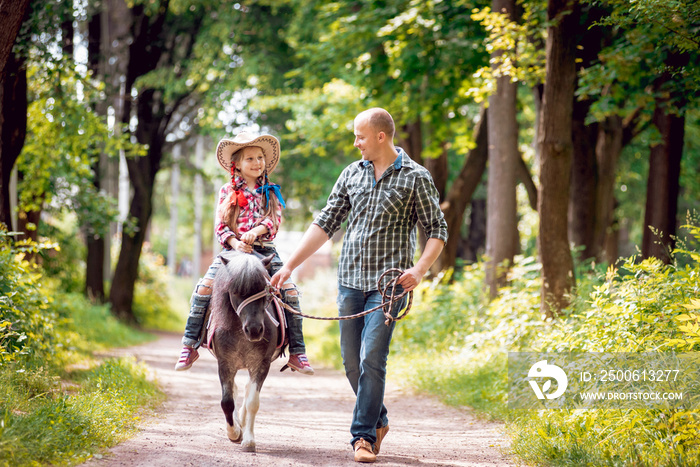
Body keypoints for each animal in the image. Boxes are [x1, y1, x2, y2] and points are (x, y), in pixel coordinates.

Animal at [206, 252, 284, 454]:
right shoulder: (225, 363)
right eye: (234, 292)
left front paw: (248, 440)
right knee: (234, 390)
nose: (255, 330)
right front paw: (234, 432)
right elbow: (226, 401)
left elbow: (252, 402)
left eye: (264, 291)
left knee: (248, 390)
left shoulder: (261, 364)